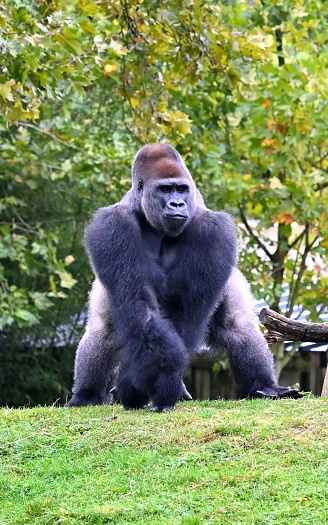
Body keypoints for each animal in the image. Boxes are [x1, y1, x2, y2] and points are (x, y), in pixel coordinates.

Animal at [68, 142, 304, 410]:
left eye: (181, 189)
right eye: (165, 189)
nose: (178, 204)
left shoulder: (213, 230)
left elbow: (187, 311)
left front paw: (157, 384)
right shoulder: (112, 225)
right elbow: (140, 303)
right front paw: (155, 382)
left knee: (236, 324)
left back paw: (264, 386)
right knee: (103, 329)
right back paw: (87, 395)